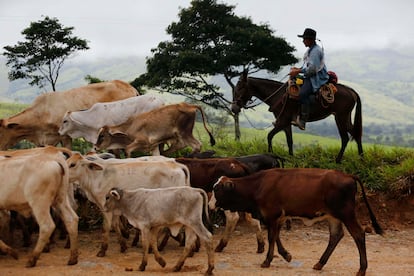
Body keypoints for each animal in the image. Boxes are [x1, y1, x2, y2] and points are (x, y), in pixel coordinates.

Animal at [212, 168, 384, 276]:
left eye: (217, 189)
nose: (209, 204)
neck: (258, 185)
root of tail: (348, 176)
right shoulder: (279, 217)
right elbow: (276, 236)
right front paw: (286, 255)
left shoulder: (271, 215)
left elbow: (271, 237)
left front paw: (267, 260)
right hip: (333, 217)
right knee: (336, 236)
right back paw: (320, 263)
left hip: (346, 214)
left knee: (358, 234)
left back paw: (362, 269)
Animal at [231, 70, 364, 164]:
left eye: (240, 88)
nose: (234, 109)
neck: (279, 95)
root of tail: (351, 91)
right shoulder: (286, 123)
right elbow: (289, 141)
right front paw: (291, 158)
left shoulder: (282, 121)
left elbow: (269, 136)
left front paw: (270, 154)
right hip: (345, 117)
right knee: (355, 134)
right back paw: (361, 158)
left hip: (340, 117)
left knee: (345, 138)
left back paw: (338, 160)